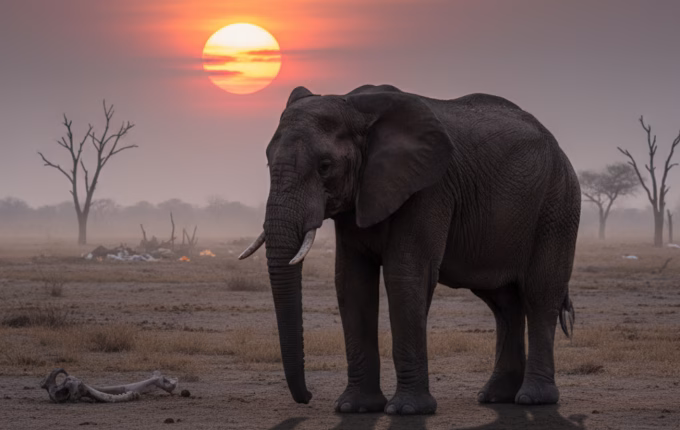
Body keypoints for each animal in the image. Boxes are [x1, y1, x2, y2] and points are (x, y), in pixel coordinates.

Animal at [239, 84, 580, 415]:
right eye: (268, 162)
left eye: (325, 166)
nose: (307, 397)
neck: (356, 107)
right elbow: (351, 282)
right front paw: (354, 407)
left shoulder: (429, 189)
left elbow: (406, 276)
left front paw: (406, 410)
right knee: (503, 302)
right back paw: (496, 397)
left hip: (558, 205)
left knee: (540, 293)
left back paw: (534, 399)